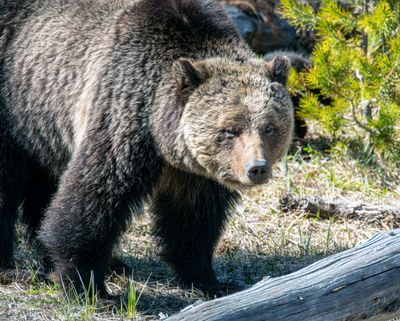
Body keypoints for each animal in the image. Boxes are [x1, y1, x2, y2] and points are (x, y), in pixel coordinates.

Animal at [0, 0, 294, 296]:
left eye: (269, 127)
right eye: (230, 129)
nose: (256, 168)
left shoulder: (194, 172)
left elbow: (192, 220)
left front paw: (209, 279)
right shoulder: (122, 113)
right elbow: (94, 196)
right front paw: (87, 285)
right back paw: (10, 268)